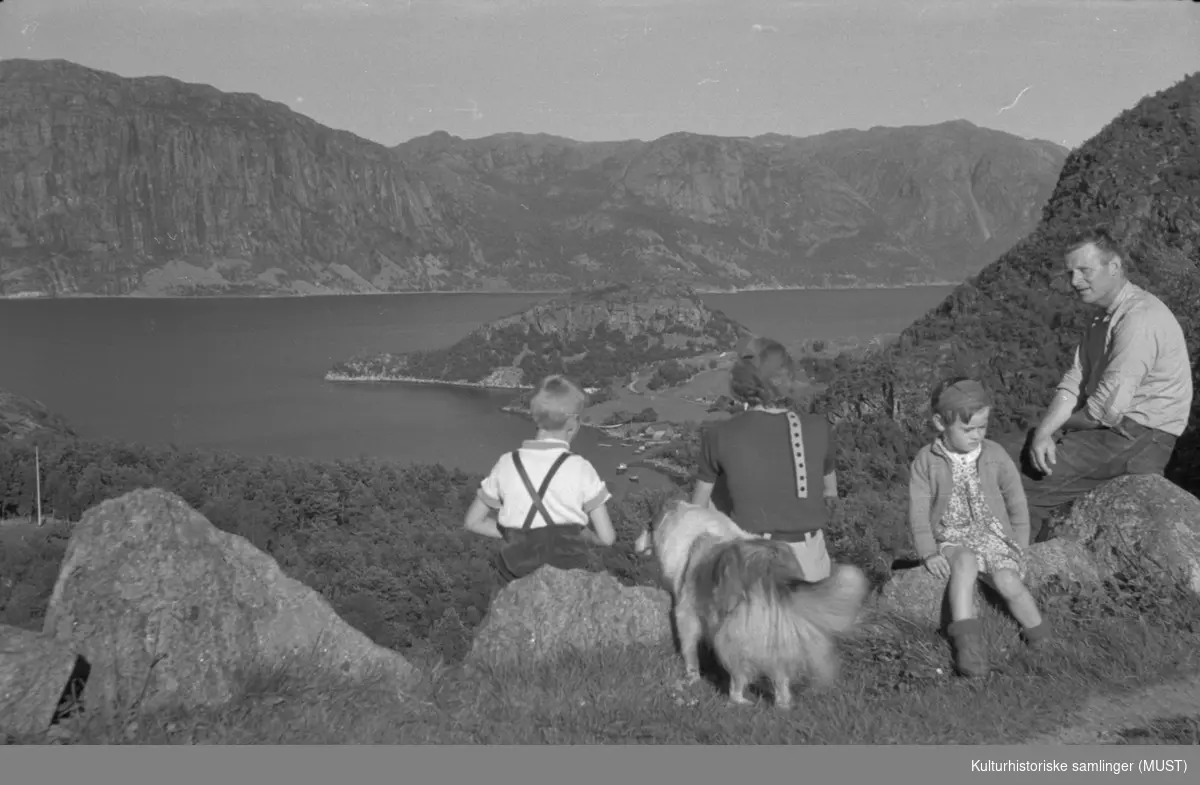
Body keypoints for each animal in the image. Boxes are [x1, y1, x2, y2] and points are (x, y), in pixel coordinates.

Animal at [633, 501, 868, 710]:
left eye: (648, 524)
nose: (634, 545)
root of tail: (772, 570)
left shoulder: (686, 613)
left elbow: (689, 650)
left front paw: (691, 678)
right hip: (777, 636)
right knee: (781, 677)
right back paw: (783, 705)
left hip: (734, 637)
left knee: (739, 676)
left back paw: (738, 700)